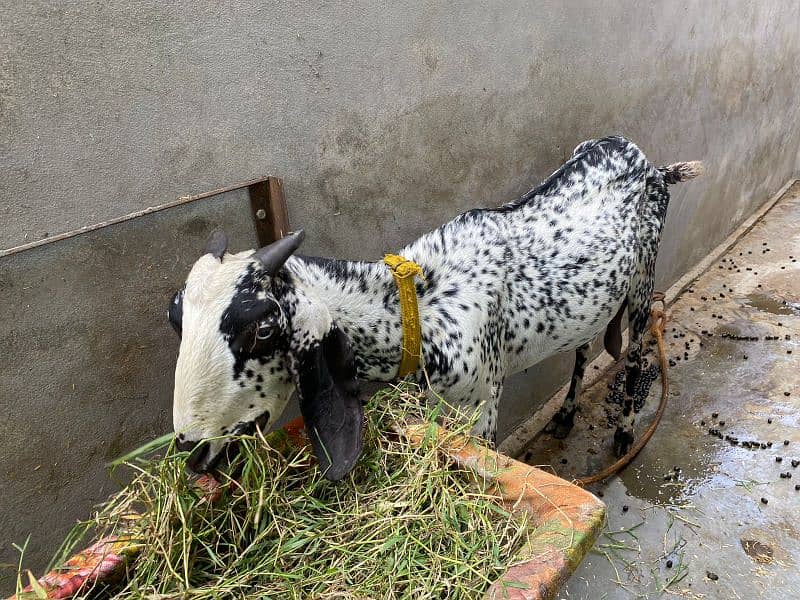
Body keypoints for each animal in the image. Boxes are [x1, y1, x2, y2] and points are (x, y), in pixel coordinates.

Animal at [169, 135, 700, 478]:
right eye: (176, 318)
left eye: (262, 330)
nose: (192, 450)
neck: (421, 308)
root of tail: (652, 166)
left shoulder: (483, 404)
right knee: (585, 347)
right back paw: (566, 415)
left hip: (643, 279)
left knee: (635, 354)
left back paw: (625, 435)